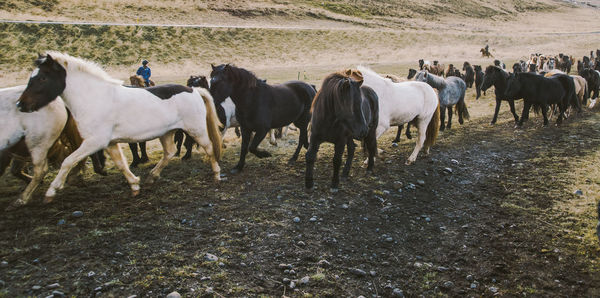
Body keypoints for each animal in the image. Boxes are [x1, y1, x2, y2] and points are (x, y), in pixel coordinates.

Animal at [17, 52, 223, 204]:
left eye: (43, 78)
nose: (21, 104)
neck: (94, 97)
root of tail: (193, 90)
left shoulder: (94, 142)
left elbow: (67, 161)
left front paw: (50, 192)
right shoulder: (109, 143)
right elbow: (121, 164)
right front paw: (135, 185)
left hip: (195, 130)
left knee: (209, 147)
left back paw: (216, 175)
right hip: (166, 133)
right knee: (170, 152)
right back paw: (151, 176)